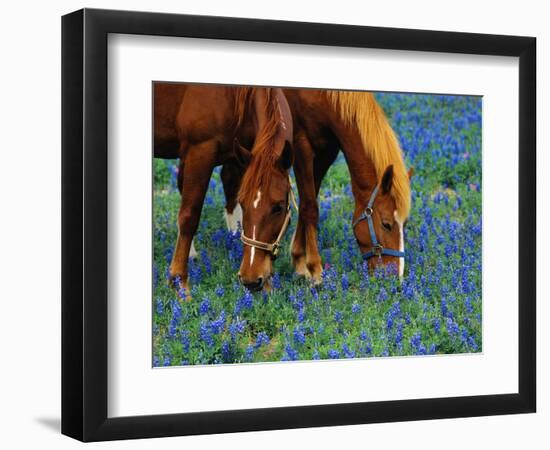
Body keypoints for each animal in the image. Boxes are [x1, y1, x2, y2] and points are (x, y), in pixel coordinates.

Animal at [153, 84, 296, 296]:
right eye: (244, 204)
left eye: (278, 207)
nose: (251, 280)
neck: (233, 94)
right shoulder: (200, 151)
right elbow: (189, 216)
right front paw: (179, 282)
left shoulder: (241, 155)